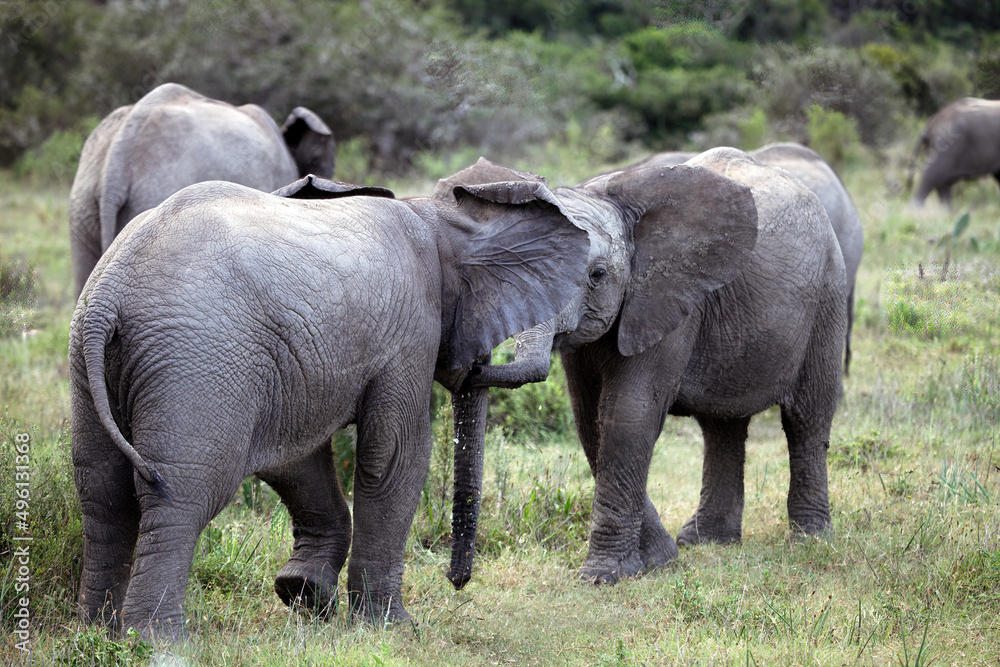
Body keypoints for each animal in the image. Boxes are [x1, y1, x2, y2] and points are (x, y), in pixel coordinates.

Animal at [69, 173, 590, 638]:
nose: (458, 582)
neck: (437, 216)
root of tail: (110, 296)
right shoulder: (410, 332)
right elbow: (395, 457)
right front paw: (393, 629)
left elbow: (297, 460)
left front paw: (303, 594)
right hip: (197, 357)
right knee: (180, 491)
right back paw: (159, 641)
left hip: (93, 360)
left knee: (102, 490)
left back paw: (96, 633)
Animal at [445, 148, 847, 588]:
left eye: (597, 275)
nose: (458, 581)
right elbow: (591, 422)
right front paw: (661, 559)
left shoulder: (668, 298)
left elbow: (627, 417)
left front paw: (604, 577)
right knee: (723, 426)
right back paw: (705, 541)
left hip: (829, 295)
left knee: (807, 418)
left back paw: (811, 538)